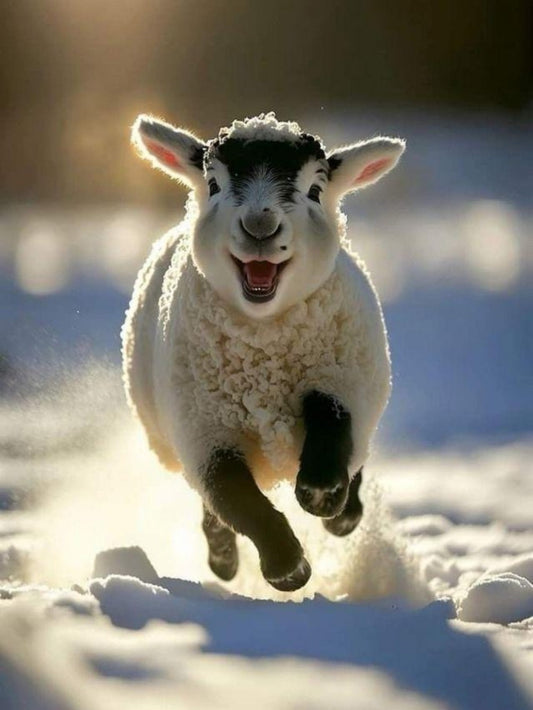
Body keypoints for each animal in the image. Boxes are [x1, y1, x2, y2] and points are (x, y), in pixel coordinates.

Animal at [122, 112, 404, 592]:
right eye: (213, 184)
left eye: (315, 190)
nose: (259, 228)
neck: (264, 338)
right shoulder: (203, 432)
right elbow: (236, 499)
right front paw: (287, 568)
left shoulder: (340, 382)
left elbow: (332, 427)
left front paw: (321, 496)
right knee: (213, 507)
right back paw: (223, 561)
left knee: (356, 458)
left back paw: (342, 514)